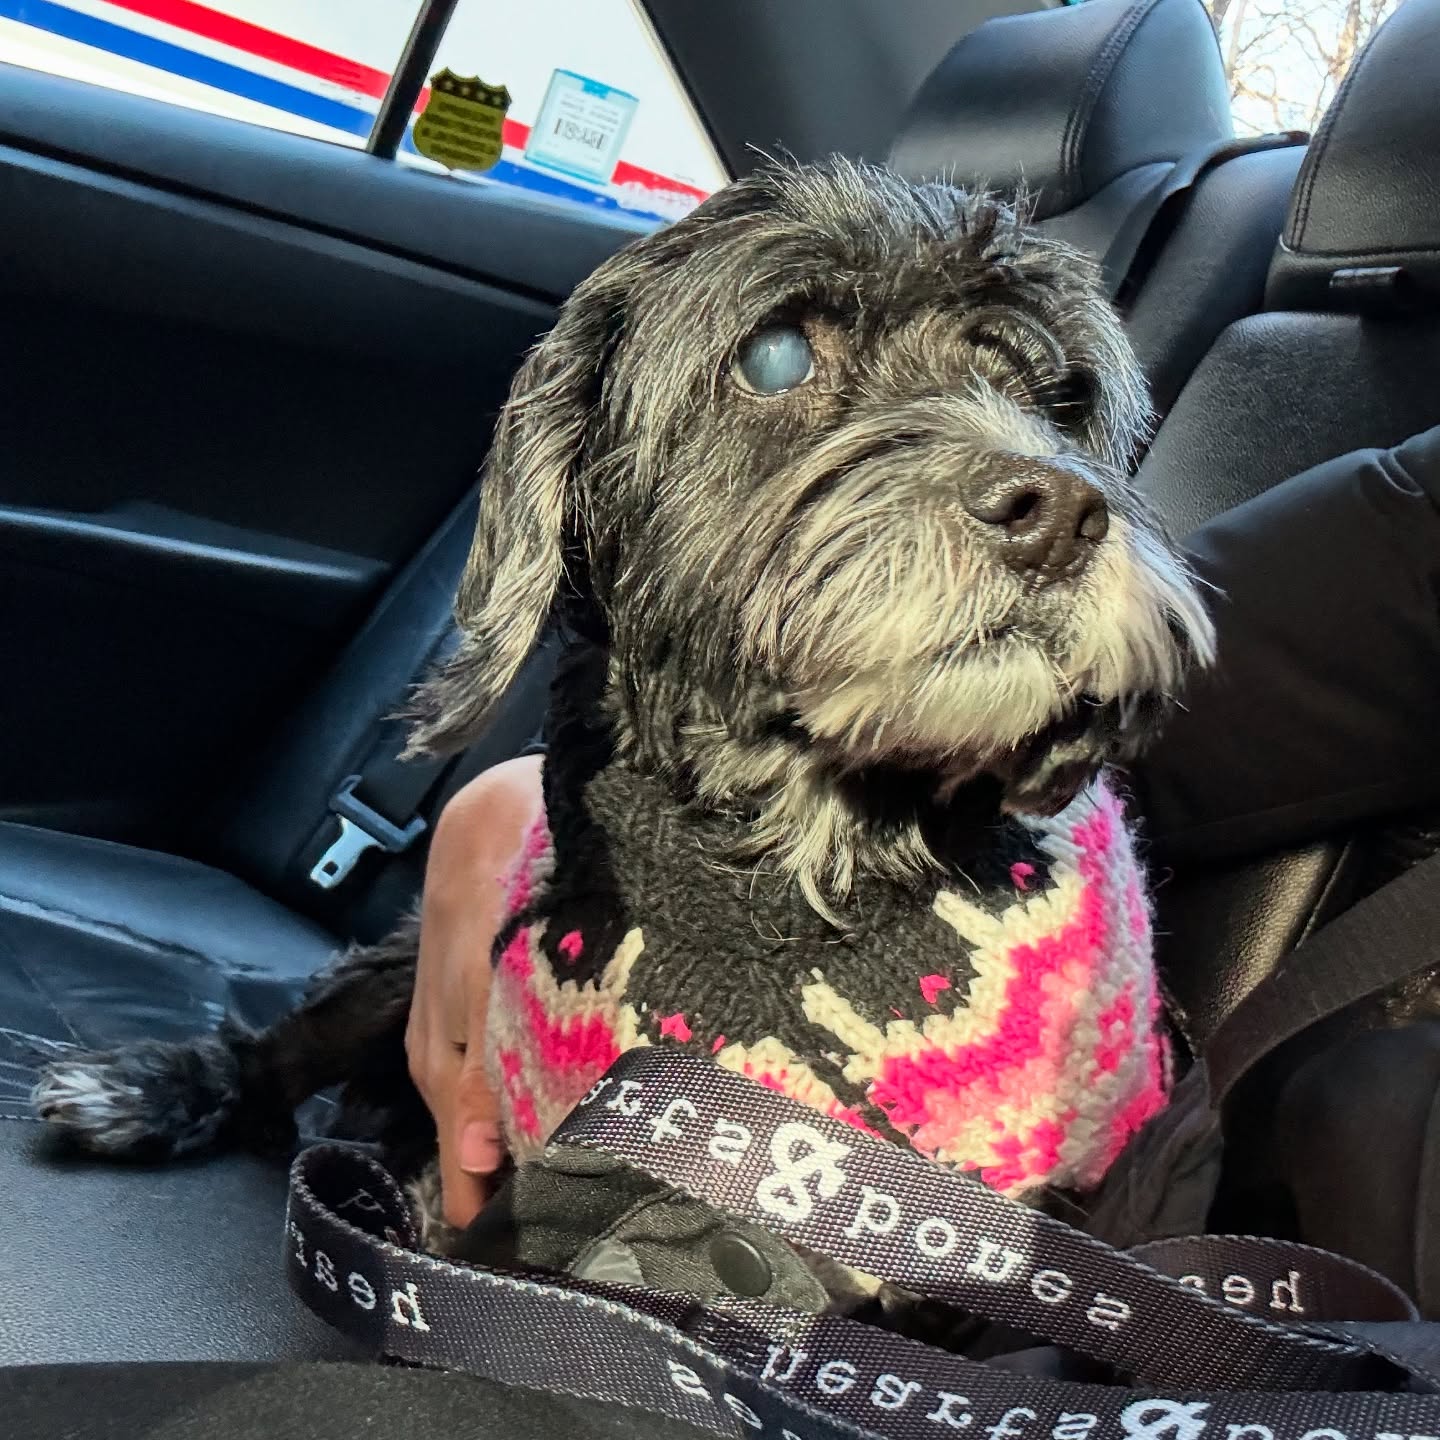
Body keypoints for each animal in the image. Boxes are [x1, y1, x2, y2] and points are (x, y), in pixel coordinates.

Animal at [28, 157, 1209, 1278]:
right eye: (777, 356)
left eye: (1057, 401)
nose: (1059, 510)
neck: (796, 863)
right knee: (278, 1056)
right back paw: (151, 1090)